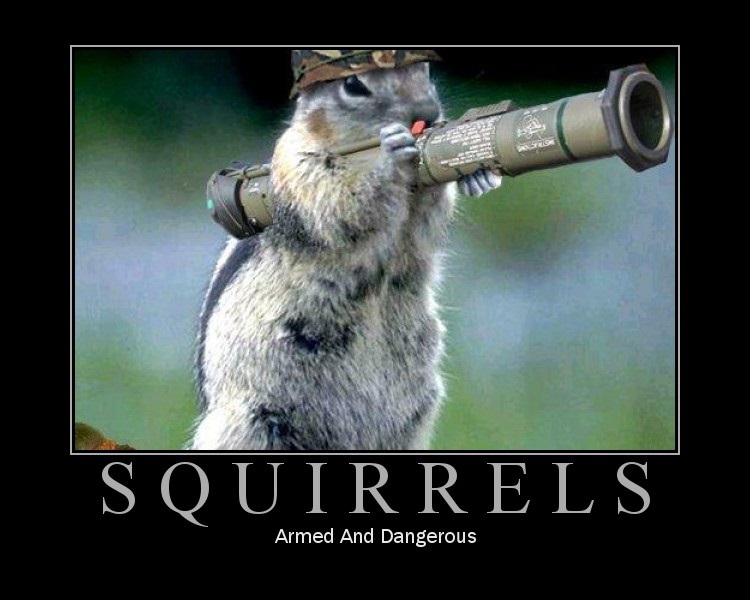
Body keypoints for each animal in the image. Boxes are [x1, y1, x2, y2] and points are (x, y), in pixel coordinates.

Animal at [191, 50, 502, 450]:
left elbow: (425, 227)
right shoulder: (296, 165)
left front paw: (473, 174)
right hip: (249, 426)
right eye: (354, 85)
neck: (359, 152)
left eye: (426, 69)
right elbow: (339, 206)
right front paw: (393, 155)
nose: (428, 115)